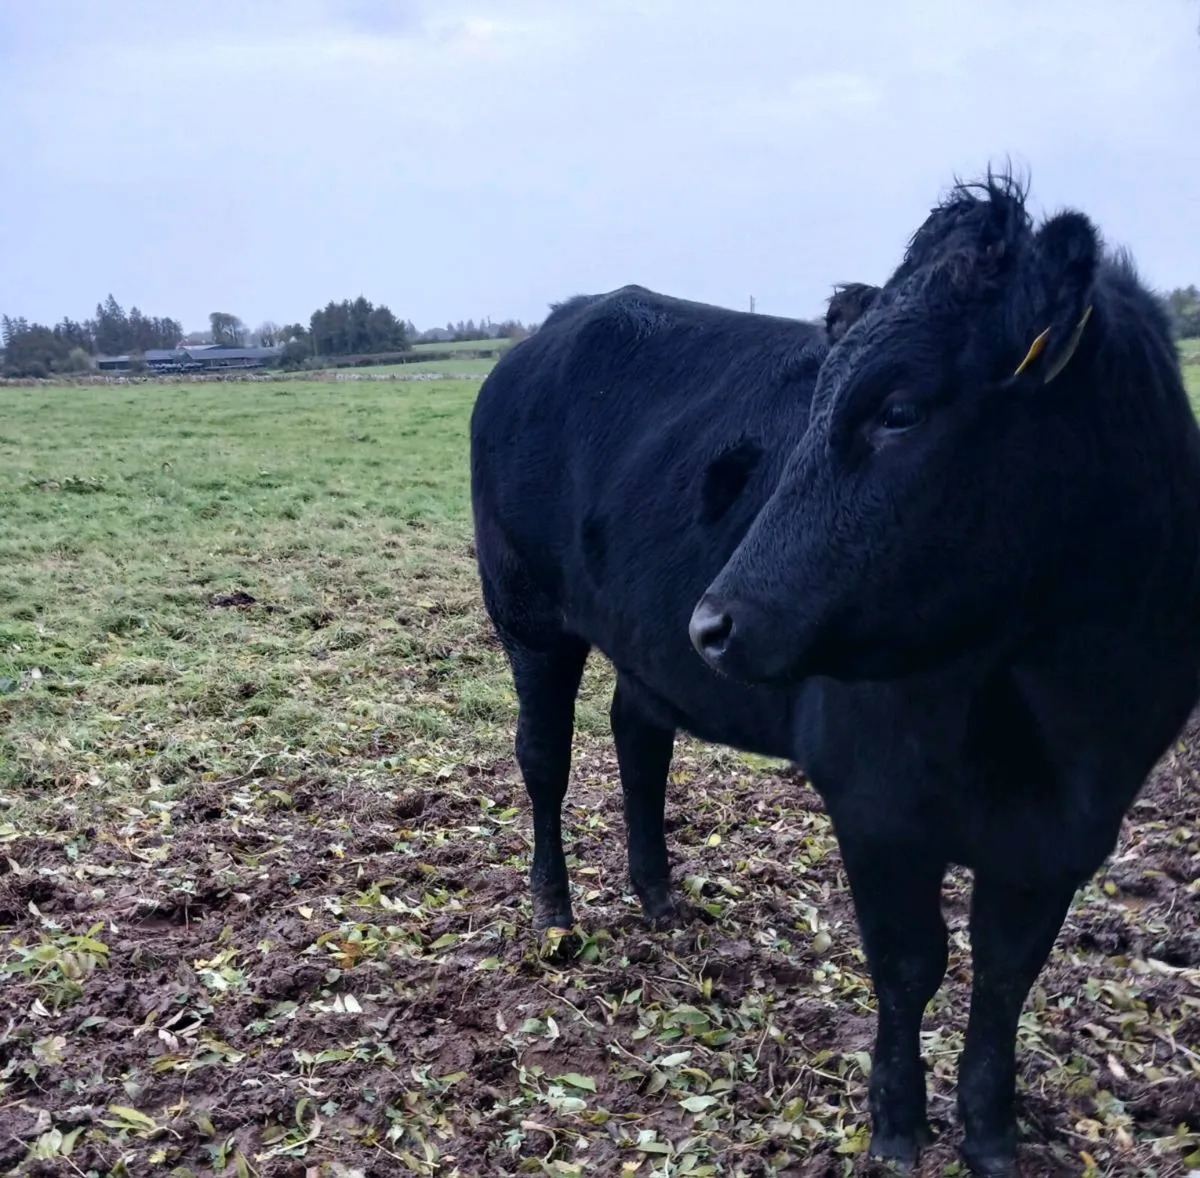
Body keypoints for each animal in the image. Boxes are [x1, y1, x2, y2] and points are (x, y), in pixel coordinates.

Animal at [468, 170, 1200, 1177]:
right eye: (819, 403)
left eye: (898, 410)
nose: (714, 623)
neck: (1060, 710)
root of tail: (556, 326)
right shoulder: (877, 803)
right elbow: (911, 963)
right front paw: (896, 1124)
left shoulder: (1074, 829)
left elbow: (1006, 974)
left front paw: (992, 1133)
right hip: (527, 612)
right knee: (544, 758)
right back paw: (554, 911)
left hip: (639, 644)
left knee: (639, 740)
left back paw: (659, 894)